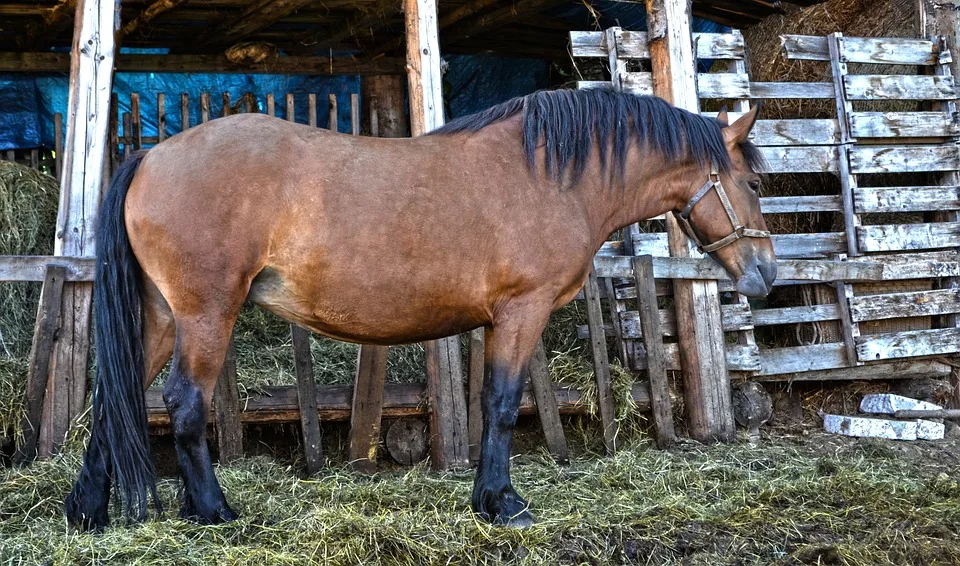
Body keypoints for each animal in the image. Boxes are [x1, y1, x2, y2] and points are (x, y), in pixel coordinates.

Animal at [65, 87, 772, 532]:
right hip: (205, 314)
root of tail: (153, 155)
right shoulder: (522, 312)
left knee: (115, 397)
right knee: (184, 401)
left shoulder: (498, 321)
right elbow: (502, 403)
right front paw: (503, 503)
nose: (765, 273)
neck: (550, 175)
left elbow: (491, 400)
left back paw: (87, 510)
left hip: (163, 316)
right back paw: (212, 511)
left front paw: (488, 497)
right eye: (754, 181)